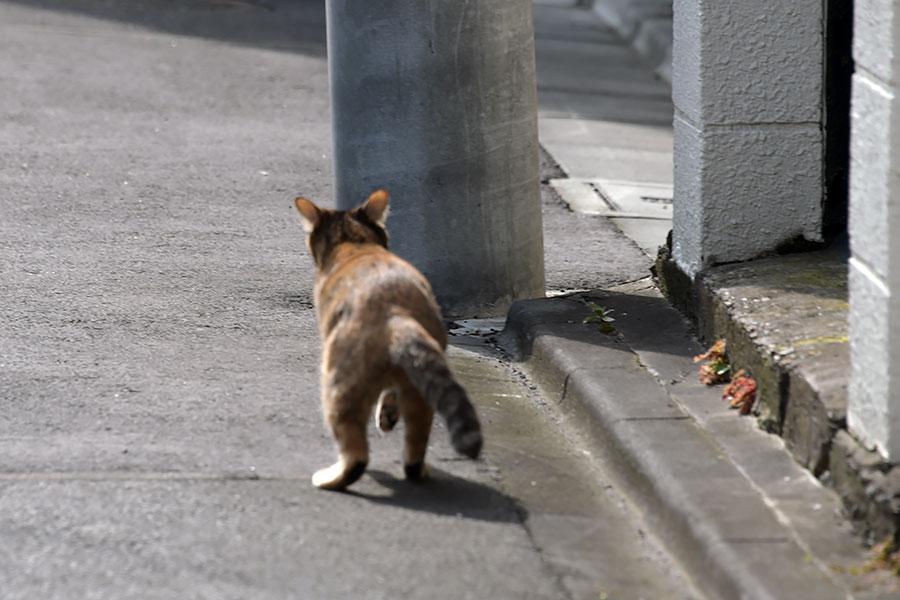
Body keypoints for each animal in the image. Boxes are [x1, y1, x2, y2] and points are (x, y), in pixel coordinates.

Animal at [292, 190, 482, 490]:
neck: (354, 243)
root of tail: (395, 316)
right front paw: (388, 416)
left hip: (339, 384)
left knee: (356, 453)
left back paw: (330, 478)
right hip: (419, 386)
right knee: (416, 439)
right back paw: (418, 468)